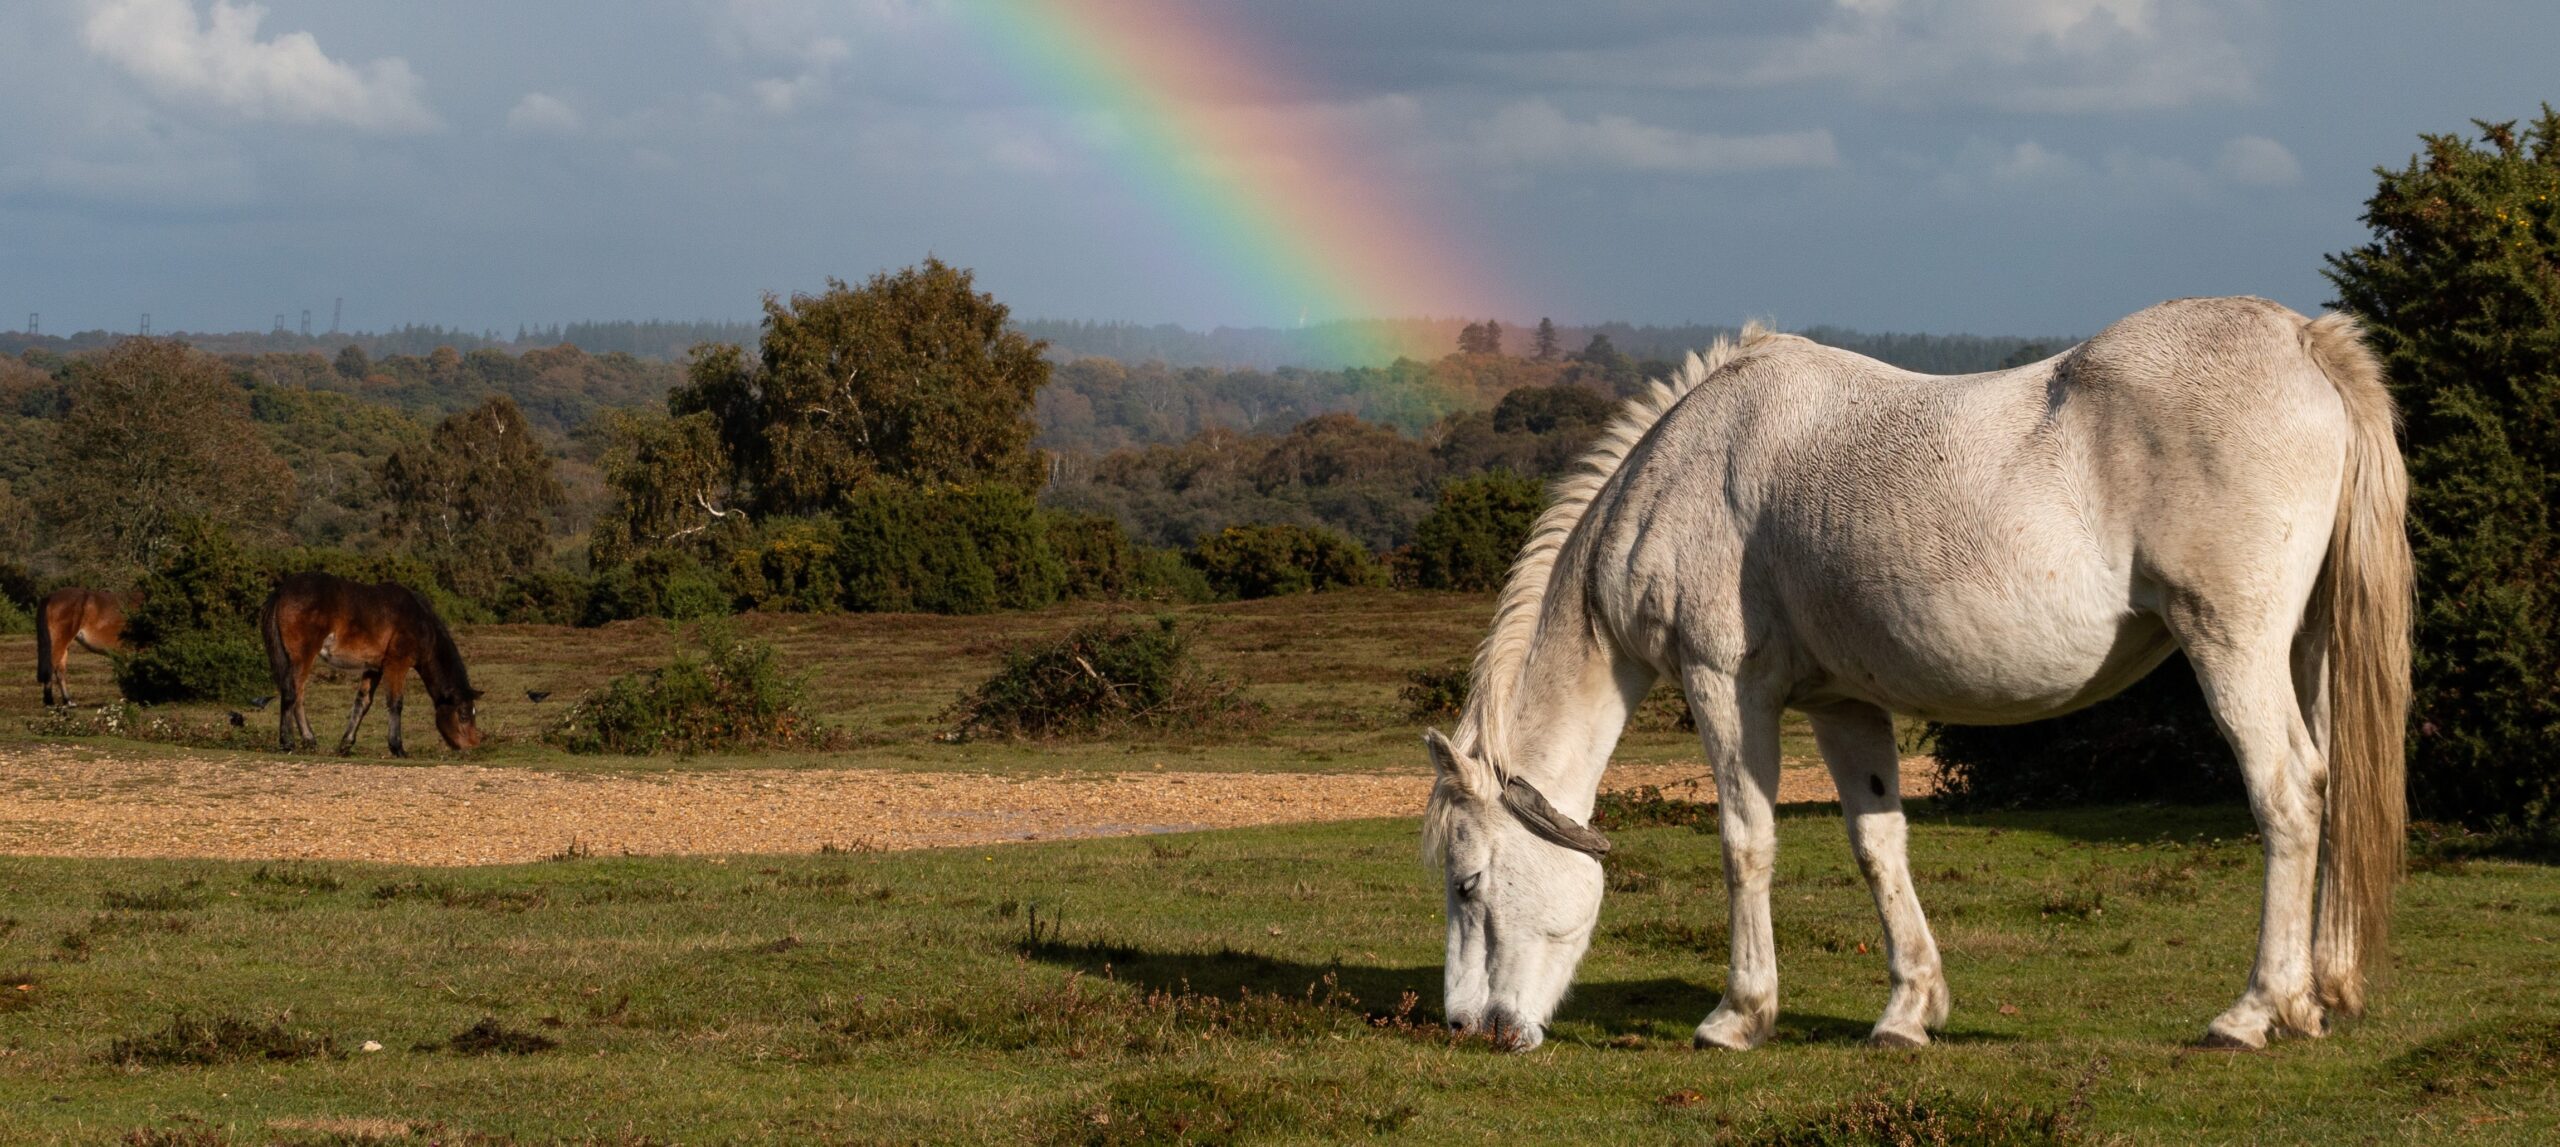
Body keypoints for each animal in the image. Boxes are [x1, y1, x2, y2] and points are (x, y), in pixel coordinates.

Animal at [259, 571, 485, 756]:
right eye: (464, 714)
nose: (473, 746)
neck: (421, 621)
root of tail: (282, 591)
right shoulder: (397, 665)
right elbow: (395, 703)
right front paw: (397, 747)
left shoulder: (374, 668)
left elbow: (363, 703)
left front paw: (346, 744)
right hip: (303, 655)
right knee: (292, 693)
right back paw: (288, 742)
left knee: (298, 695)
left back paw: (309, 740)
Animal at [1422, 297, 2409, 1053]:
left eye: (1467, 882)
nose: (1470, 1025)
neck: (1688, 470)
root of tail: (2302, 339)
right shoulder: (1844, 704)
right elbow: (1878, 844)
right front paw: (1908, 1010)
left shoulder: (1724, 685)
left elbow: (1747, 843)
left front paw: (1738, 1015)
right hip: (2307, 649)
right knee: (2331, 786)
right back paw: (2313, 999)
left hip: (2232, 646)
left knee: (2288, 793)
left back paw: (2252, 1011)